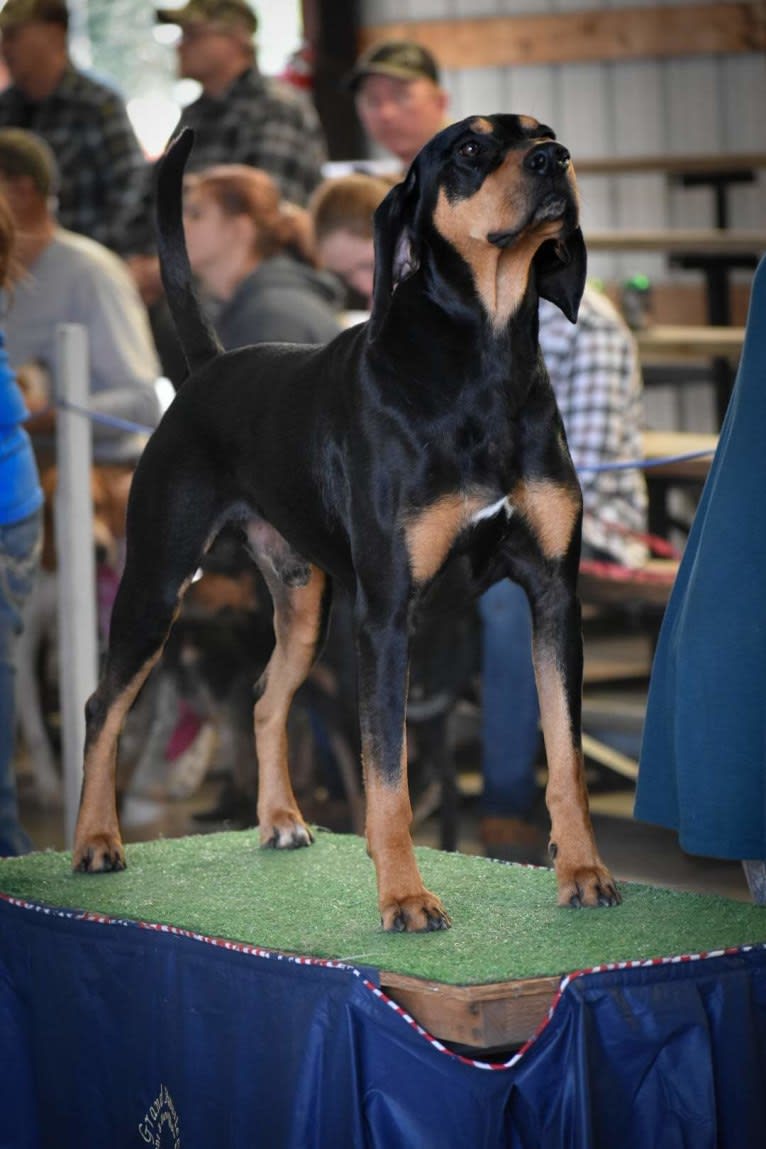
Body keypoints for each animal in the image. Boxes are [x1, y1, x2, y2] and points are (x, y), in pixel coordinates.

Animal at [73, 114, 624, 923]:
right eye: (469, 149)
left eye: (544, 134)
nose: (556, 159)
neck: (483, 362)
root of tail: (207, 368)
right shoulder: (388, 616)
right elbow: (386, 774)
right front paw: (404, 895)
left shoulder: (555, 598)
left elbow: (566, 756)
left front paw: (582, 869)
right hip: (155, 584)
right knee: (102, 706)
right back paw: (95, 840)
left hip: (305, 605)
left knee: (264, 697)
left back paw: (279, 819)